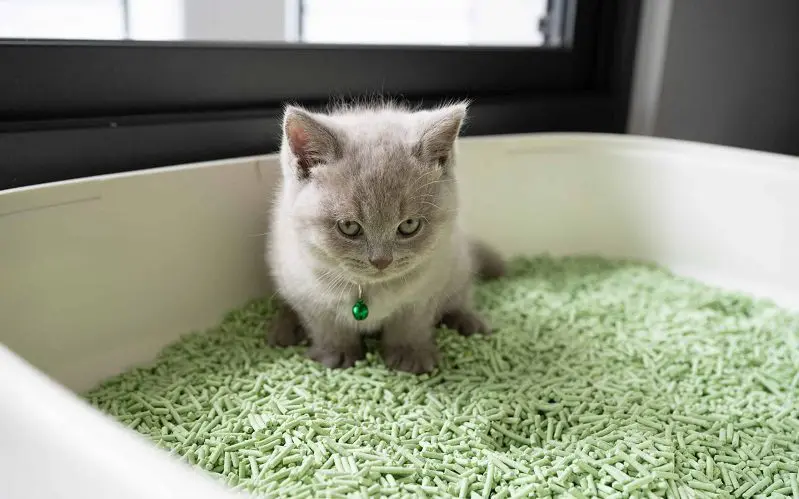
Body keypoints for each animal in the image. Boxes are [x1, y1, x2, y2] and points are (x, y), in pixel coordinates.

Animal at [266, 101, 504, 374]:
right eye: (349, 226)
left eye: (409, 225)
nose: (381, 261)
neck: (368, 289)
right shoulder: (307, 293)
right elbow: (328, 327)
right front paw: (337, 354)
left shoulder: (427, 289)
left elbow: (410, 324)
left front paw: (410, 356)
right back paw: (284, 329)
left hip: (458, 265)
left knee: (459, 296)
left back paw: (468, 320)